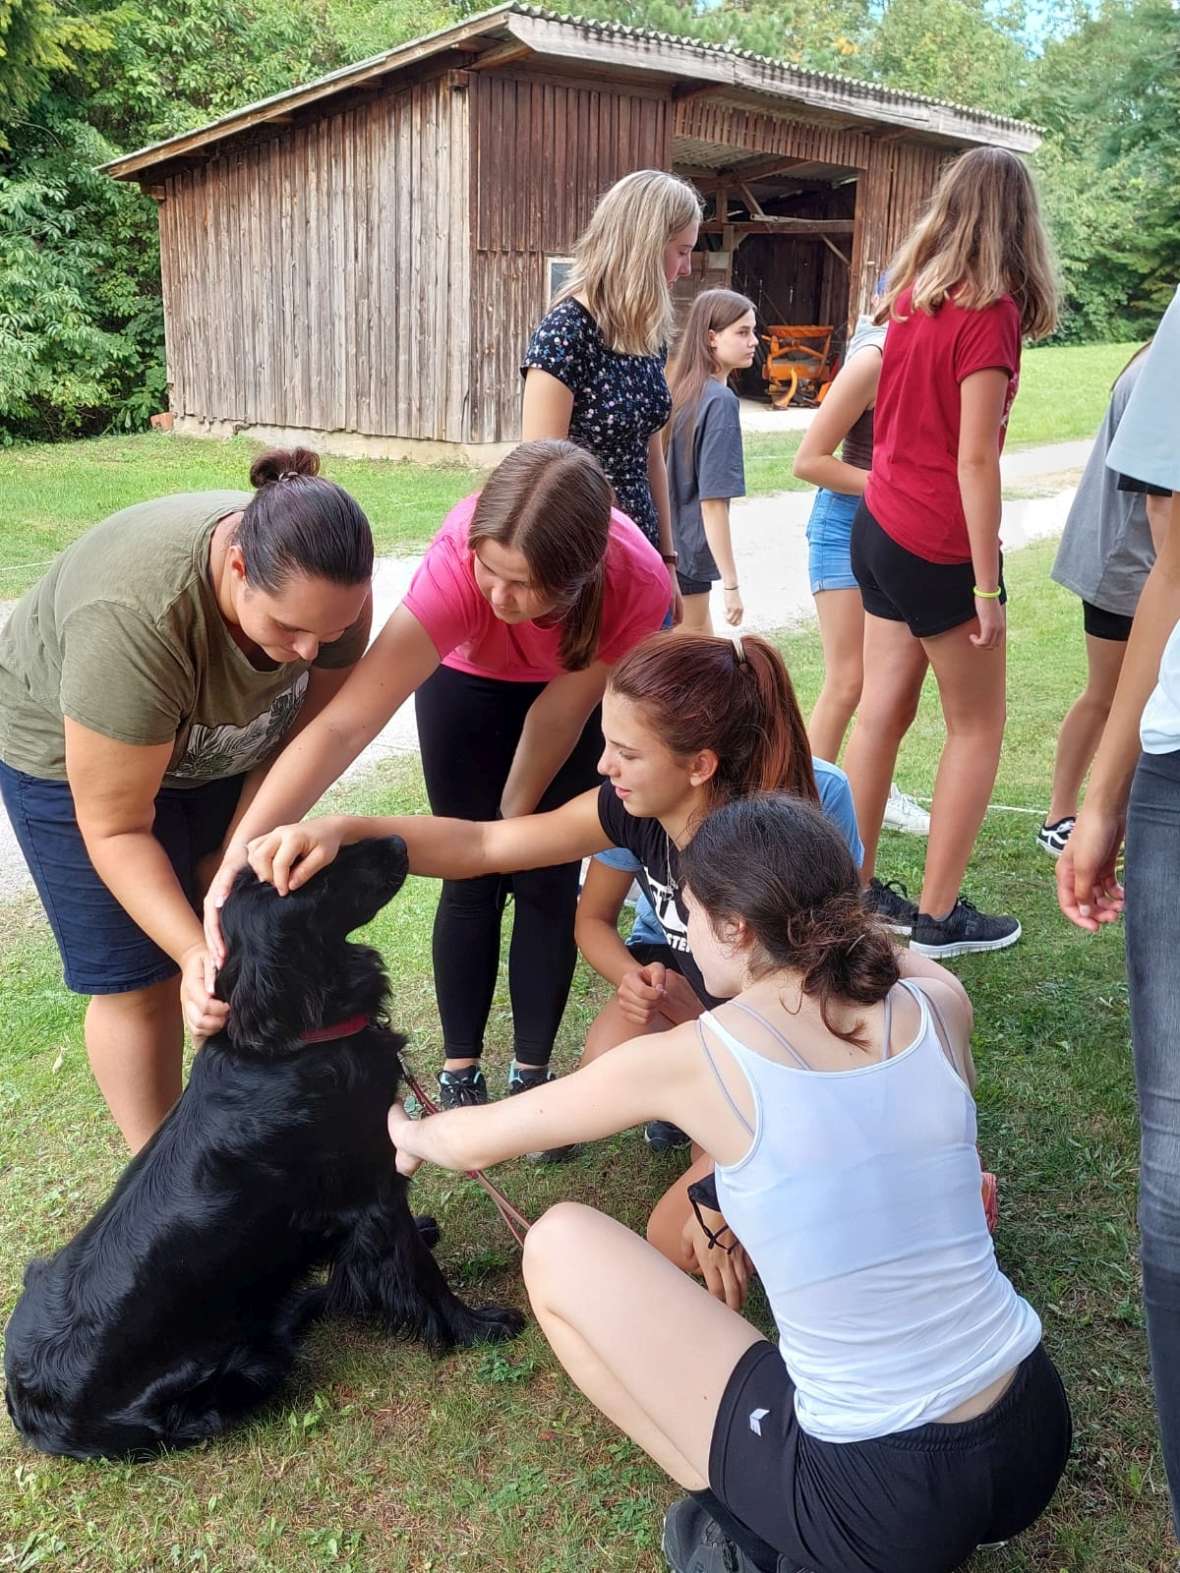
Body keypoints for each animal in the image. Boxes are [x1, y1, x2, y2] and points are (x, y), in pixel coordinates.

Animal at [3, 836, 522, 1459]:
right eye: (308, 873)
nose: (398, 840)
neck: (292, 1042)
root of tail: (29, 1410)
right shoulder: (372, 1192)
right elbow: (419, 1275)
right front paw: (476, 1327)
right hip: (242, 1373)